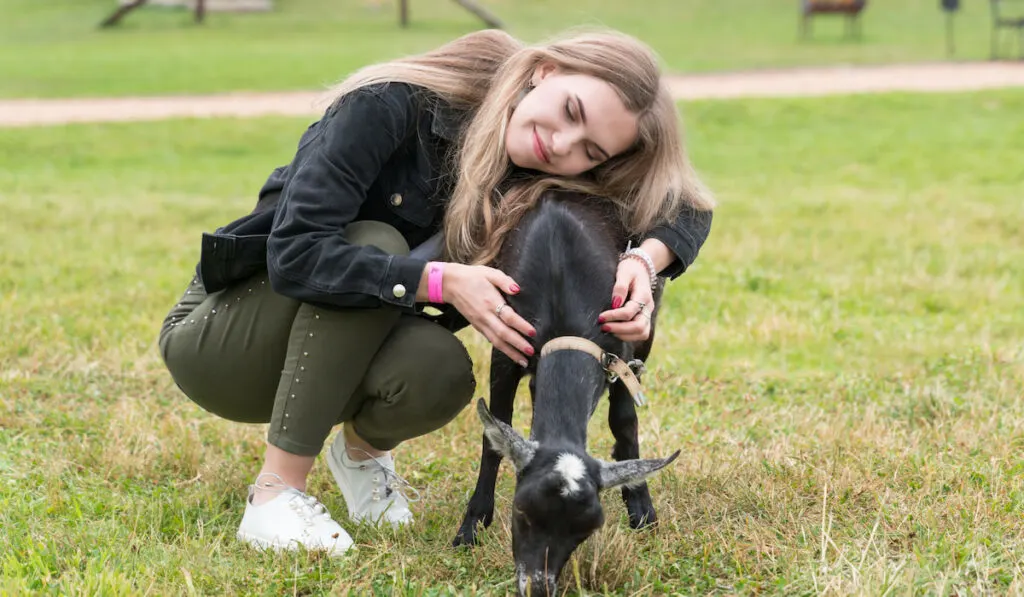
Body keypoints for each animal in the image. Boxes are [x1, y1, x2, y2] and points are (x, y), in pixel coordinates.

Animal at [454, 192, 679, 597]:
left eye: (585, 530)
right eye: (521, 511)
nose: (538, 587)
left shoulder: (620, 348)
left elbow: (624, 421)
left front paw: (642, 508)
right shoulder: (505, 346)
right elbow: (494, 431)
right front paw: (473, 524)